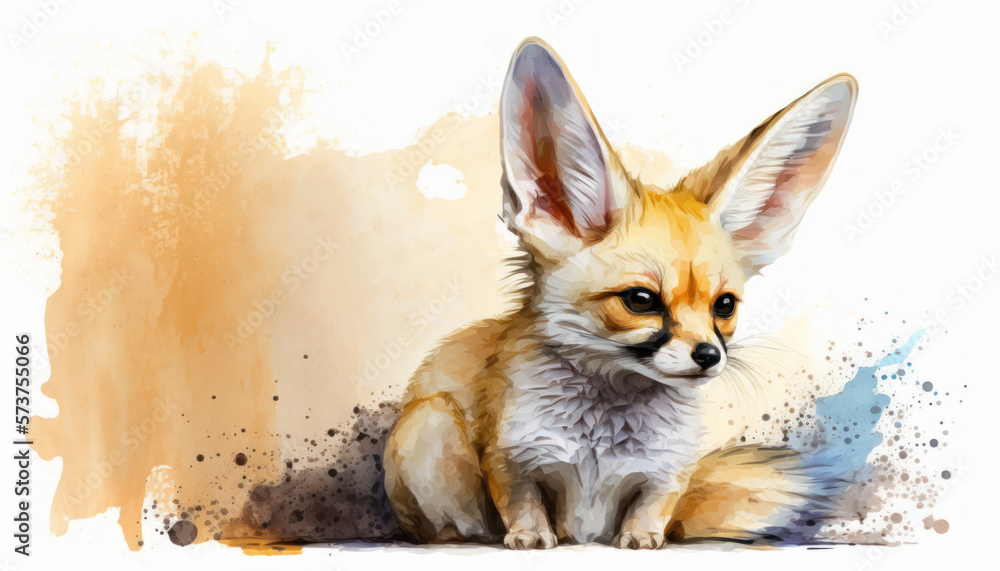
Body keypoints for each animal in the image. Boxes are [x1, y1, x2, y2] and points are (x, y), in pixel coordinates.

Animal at [383, 37, 858, 549]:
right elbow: (522, 503)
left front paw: (641, 541)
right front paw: (530, 538)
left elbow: (652, 510)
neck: (603, 442)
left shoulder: (668, 471)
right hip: (429, 425)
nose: (709, 355)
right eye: (640, 300)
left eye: (724, 306)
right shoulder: (509, 457)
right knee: (450, 527)